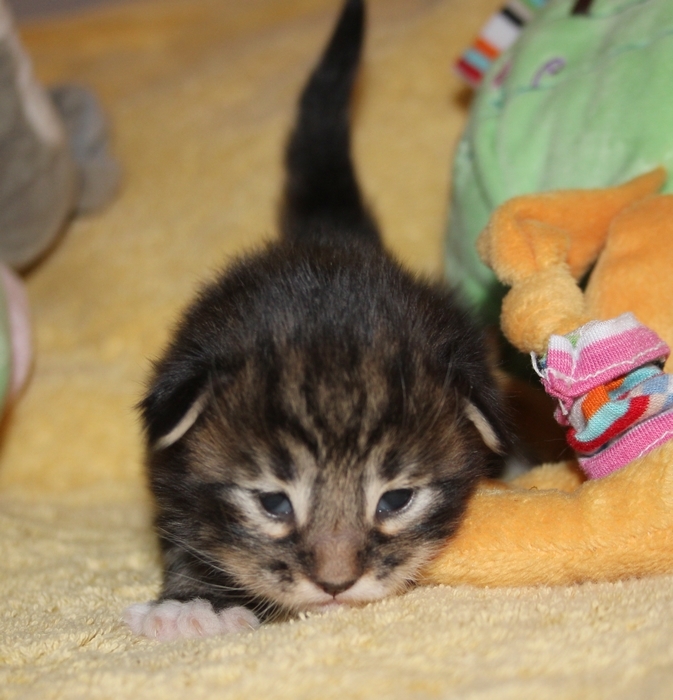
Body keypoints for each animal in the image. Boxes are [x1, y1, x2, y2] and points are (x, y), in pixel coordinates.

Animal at [124, 0, 511, 641]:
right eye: (273, 503)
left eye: (395, 501)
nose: (336, 582)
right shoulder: (168, 469)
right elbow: (183, 531)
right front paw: (195, 601)